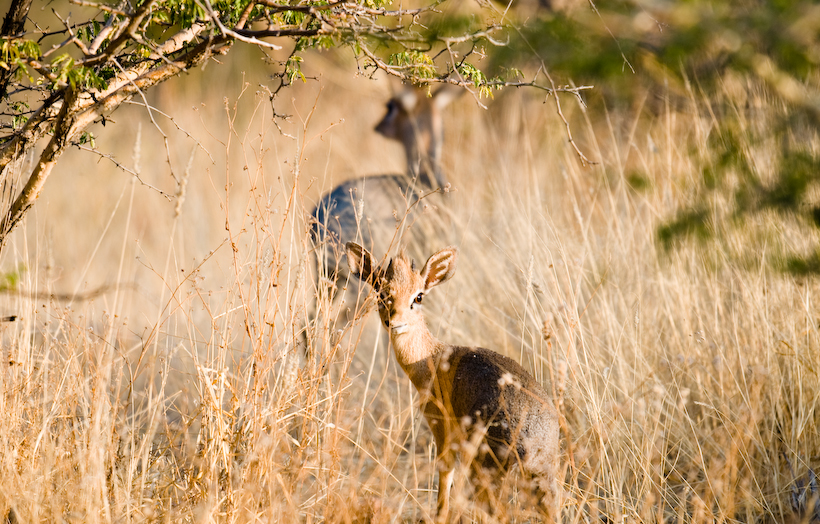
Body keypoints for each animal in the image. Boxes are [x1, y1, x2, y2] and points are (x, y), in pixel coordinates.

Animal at [346, 242, 564, 524]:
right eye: (380, 292)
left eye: (419, 296)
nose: (395, 322)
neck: (433, 358)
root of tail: (531, 441)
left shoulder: (441, 428)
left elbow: (444, 477)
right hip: (543, 481)